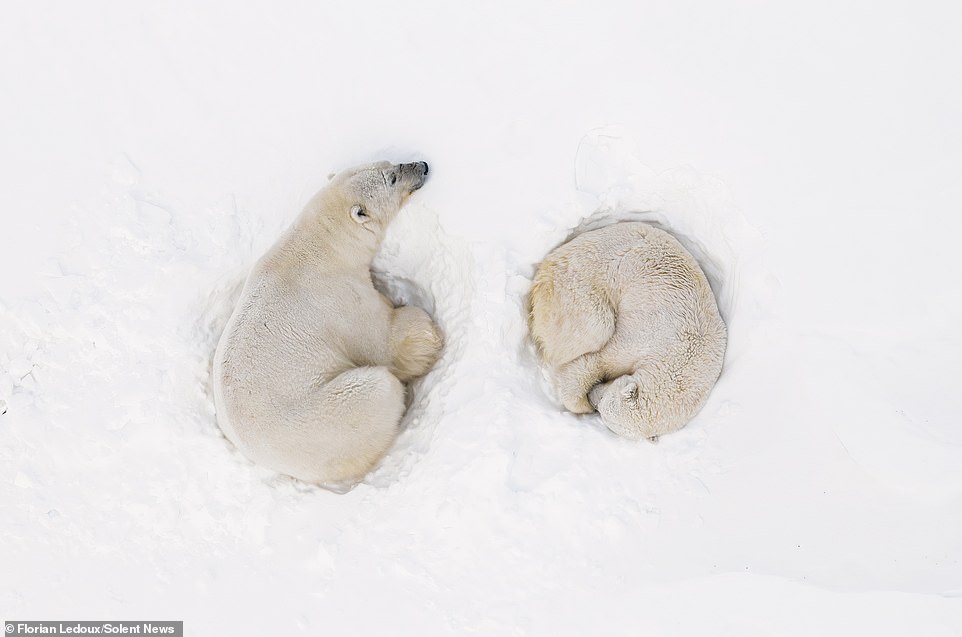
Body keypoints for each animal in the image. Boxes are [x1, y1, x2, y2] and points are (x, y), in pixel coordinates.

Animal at [212, 160, 440, 486]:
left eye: (390, 163)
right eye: (393, 177)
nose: (421, 165)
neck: (320, 245)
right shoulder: (339, 298)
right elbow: (384, 341)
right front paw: (428, 336)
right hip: (332, 416)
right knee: (379, 388)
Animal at [528, 221, 724, 440]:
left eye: (603, 410)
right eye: (603, 404)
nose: (591, 396)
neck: (684, 356)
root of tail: (550, 261)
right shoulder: (650, 334)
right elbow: (602, 359)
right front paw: (579, 403)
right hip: (578, 283)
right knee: (594, 328)